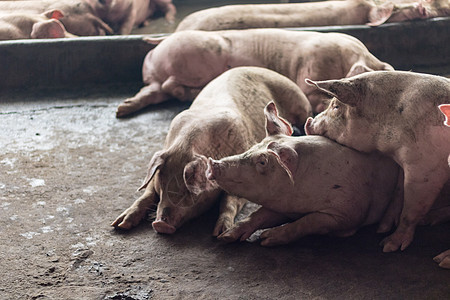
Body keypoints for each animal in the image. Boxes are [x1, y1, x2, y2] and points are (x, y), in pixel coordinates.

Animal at [110, 67, 312, 237]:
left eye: (189, 190)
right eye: (163, 183)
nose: (161, 224)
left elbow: (229, 201)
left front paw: (220, 233)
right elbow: (147, 194)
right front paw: (119, 225)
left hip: (300, 104)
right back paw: (120, 111)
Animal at [117, 28, 394, 117]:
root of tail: (161, 42)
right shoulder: (309, 73)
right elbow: (314, 96)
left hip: (157, 79)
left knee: (154, 91)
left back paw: (122, 110)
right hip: (194, 58)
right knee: (169, 86)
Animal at [202, 101, 400, 246]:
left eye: (263, 162)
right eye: (252, 147)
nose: (212, 163)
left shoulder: (348, 213)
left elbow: (309, 221)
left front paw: (266, 239)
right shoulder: (282, 205)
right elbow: (259, 214)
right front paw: (225, 237)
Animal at [302, 70, 450, 253]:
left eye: (336, 106)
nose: (308, 123)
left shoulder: (426, 168)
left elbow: (411, 209)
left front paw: (387, 246)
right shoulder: (403, 164)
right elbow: (398, 193)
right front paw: (382, 228)